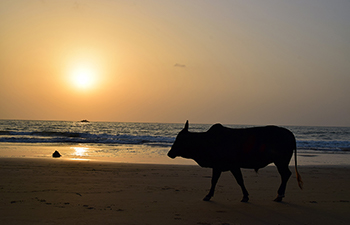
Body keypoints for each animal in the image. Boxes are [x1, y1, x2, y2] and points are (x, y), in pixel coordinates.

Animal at [168, 121, 302, 202]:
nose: (170, 153)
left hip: (281, 162)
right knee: (286, 175)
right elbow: (230, 180)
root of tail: (290, 133)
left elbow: (229, 181)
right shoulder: (225, 166)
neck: (207, 141)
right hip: (281, 162)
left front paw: (208, 195)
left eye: (180, 139)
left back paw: (279, 196)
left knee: (286, 174)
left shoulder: (226, 166)